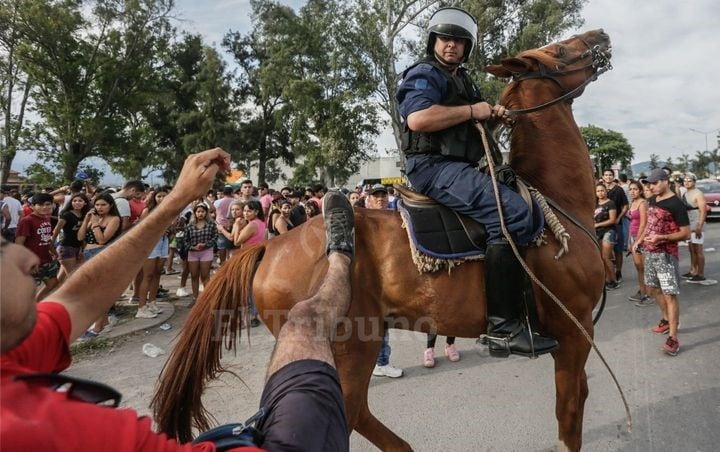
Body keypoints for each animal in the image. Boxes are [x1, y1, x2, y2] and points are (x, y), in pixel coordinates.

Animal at [153, 30, 612, 450]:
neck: (556, 199)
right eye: (559, 50)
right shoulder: (574, 331)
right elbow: (570, 413)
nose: (600, 36)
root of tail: (271, 246)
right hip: (352, 345)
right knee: (347, 411)